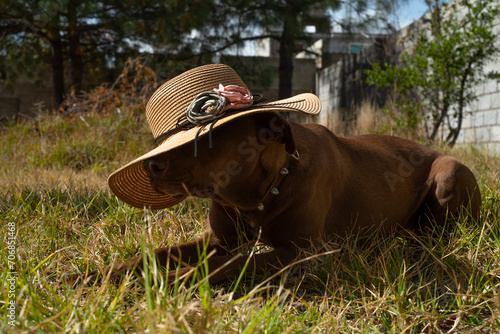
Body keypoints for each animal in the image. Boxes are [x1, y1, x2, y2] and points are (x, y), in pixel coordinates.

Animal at [82, 112, 480, 284]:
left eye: (210, 134)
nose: (151, 165)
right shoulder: (217, 240)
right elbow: (151, 255)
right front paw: (97, 274)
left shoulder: (301, 253)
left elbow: (229, 265)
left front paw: (173, 280)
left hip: (448, 173)